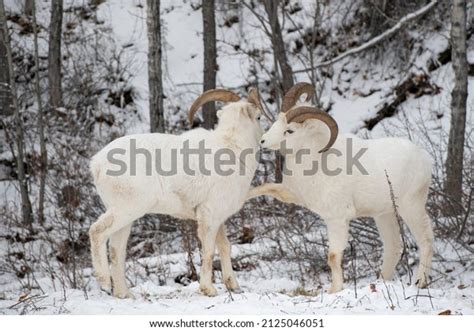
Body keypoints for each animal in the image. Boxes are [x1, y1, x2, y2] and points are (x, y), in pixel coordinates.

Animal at [88, 88, 266, 298]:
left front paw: (233, 286)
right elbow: (208, 250)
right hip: (125, 210)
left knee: (117, 250)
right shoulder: (209, 216)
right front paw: (209, 289)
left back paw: (124, 294)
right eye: (259, 117)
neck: (233, 150)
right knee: (97, 232)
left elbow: (225, 246)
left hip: (126, 218)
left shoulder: (218, 218)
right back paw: (104, 282)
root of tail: (96, 164)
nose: (264, 139)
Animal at [248, 83, 434, 294]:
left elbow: (333, 256)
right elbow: (265, 188)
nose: (262, 141)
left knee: (426, 241)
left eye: (290, 130)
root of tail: (424, 157)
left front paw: (334, 290)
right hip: (384, 215)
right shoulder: (293, 195)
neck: (316, 161)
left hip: (411, 208)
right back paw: (379, 283)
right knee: (393, 247)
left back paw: (419, 282)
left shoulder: (337, 220)